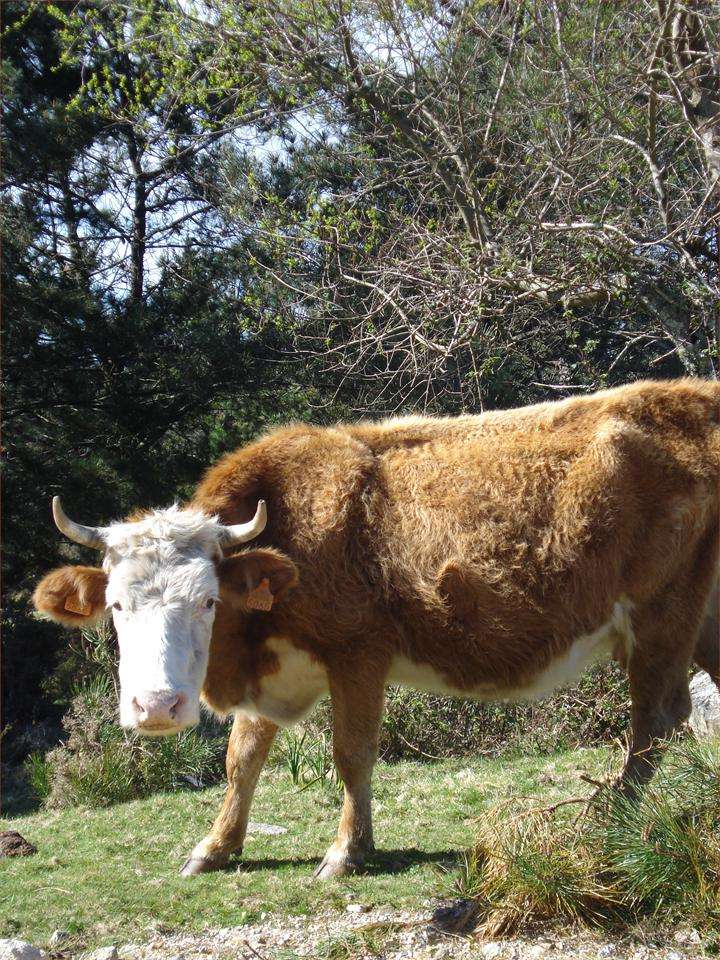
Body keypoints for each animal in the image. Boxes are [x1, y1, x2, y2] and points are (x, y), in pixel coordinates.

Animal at [33, 380, 720, 876]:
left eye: (207, 601)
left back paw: (607, 819)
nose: (156, 707)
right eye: (117, 606)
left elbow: (352, 752)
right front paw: (215, 846)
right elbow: (242, 757)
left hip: (662, 616)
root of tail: (694, 393)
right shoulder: (277, 669)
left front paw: (347, 852)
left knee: (657, 718)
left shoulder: (358, 654)